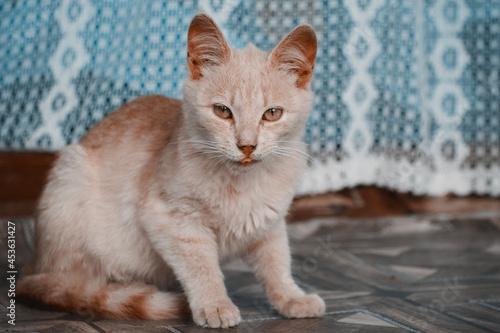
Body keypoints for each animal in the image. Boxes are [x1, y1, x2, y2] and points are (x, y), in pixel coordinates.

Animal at [16, 12, 324, 326]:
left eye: (272, 114)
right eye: (222, 111)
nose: (247, 146)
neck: (240, 183)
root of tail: (32, 263)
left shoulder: (268, 223)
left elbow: (277, 263)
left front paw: (292, 298)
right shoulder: (172, 220)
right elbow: (201, 268)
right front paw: (215, 305)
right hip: (70, 176)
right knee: (73, 285)